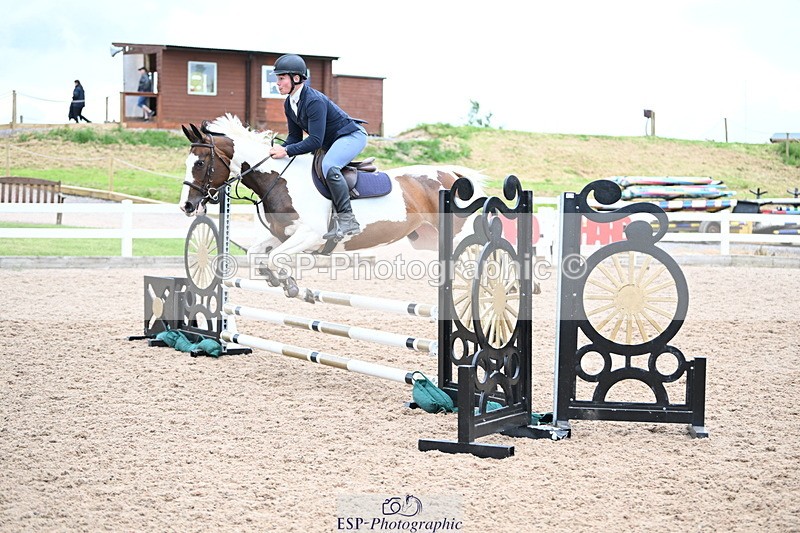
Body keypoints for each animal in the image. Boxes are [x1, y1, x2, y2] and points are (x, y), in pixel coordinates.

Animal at [179, 113, 487, 297]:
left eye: (200, 163)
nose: (186, 206)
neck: (281, 179)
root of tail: (451, 175)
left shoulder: (310, 235)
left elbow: (275, 257)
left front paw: (289, 284)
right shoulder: (282, 234)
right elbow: (258, 254)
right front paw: (273, 279)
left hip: (455, 237)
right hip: (427, 239)